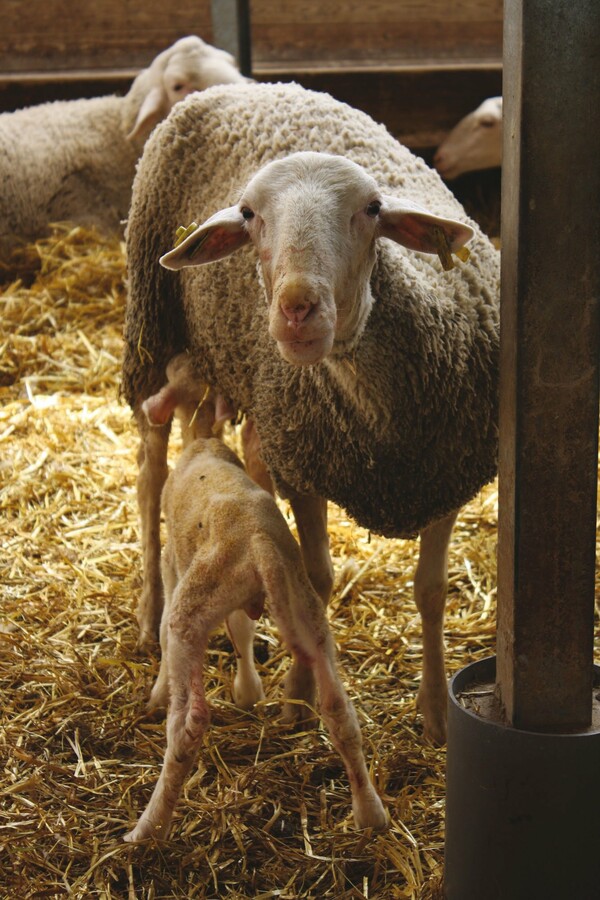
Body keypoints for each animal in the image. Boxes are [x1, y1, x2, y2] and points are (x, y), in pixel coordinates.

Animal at [119, 84, 500, 744]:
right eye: (249, 214)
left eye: (372, 208)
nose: (297, 309)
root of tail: (237, 85)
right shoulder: (306, 469)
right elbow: (318, 579)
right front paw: (299, 695)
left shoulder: (447, 476)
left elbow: (430, 591)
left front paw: (434, 710)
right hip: (152, 323)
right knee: (150, 472)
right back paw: (151, 612)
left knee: (245, 451)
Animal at [125, 352, 390, 844]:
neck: (203, 437)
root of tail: (261, 546)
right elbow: (244, 629)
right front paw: (248, 691)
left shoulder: (175, 564)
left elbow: (169, 625)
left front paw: (158, 692)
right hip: (303, 604)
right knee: (339, 710)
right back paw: (370, 813)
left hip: (196, 602)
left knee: (189, 720)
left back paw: (148, 826)